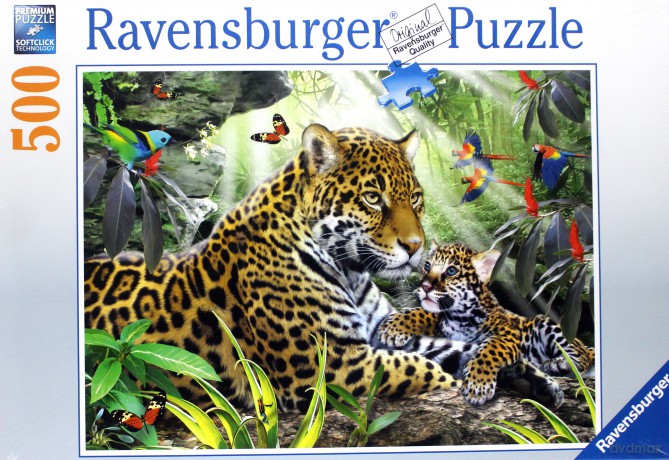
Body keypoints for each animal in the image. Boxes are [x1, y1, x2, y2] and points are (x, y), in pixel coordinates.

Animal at [84, 124, 485, 413]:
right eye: (373, 198)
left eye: (415, 198)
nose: (416, 247)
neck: (351, 271)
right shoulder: (330, 365)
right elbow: (419, 368)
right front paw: (458, 386)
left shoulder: (382, 332)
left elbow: (452, 349)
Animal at [413, 241, 594, 405]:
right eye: (427, 266)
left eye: (451, 271)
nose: (425, 286)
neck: (456, 318)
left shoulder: (508, 332)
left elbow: (489, 351)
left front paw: (477, 384)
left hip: (545, 324)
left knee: (581, 358)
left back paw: (558, 364)